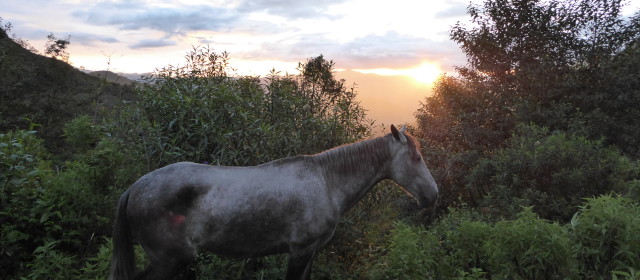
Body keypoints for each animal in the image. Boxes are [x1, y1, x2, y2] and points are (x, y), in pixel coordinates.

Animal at [111, 125, 440, 280]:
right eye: (417, 158)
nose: (433, 195)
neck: (326, 181)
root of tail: (134, 189)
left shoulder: (310, 252)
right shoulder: (299, 251)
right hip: (171, 259)